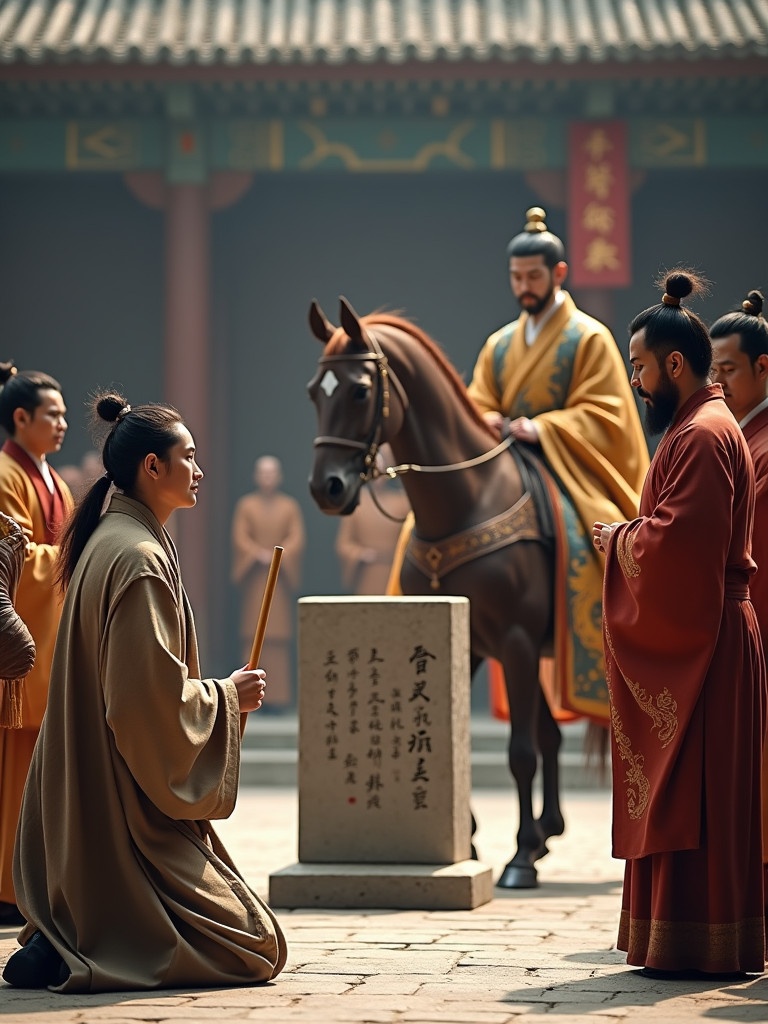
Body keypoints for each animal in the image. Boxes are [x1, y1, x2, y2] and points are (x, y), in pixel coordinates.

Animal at [307, 299, 565, 888]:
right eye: (314, 392)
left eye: (360, 391)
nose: (326, 488)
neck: (465, 501)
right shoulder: (464, 639)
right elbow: (457, 735)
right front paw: (465, 838)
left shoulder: (516, 640)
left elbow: (519, 751)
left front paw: (518, 858)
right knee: (552, 736)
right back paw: (549, 830)